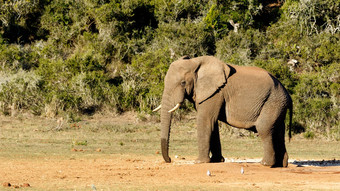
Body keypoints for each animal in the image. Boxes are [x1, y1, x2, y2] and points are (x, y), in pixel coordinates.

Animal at [154, 55, 292, 167]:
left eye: (183, 83)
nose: (169, 160)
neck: (196, 62)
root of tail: (288, 94)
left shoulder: (216, 93)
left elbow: (205, 120)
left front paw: (199, 162)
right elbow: (213, 124)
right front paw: (216, 160)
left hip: (272, 102)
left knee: (264, 129)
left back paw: (265, 164)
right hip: (278, 105)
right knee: (278, 131)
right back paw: (281, 165)